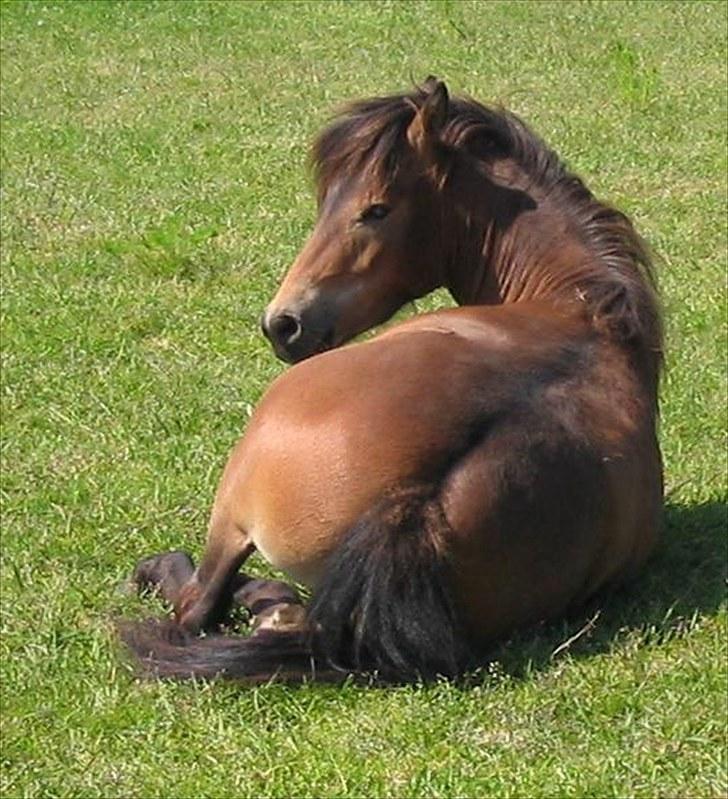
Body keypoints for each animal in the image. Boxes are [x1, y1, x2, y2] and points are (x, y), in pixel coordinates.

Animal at [122, 78, 664, 684]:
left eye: (375, 209)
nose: (283, 324)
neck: (579, 304)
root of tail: (417, 500)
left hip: (233, 507)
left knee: (198, 605)